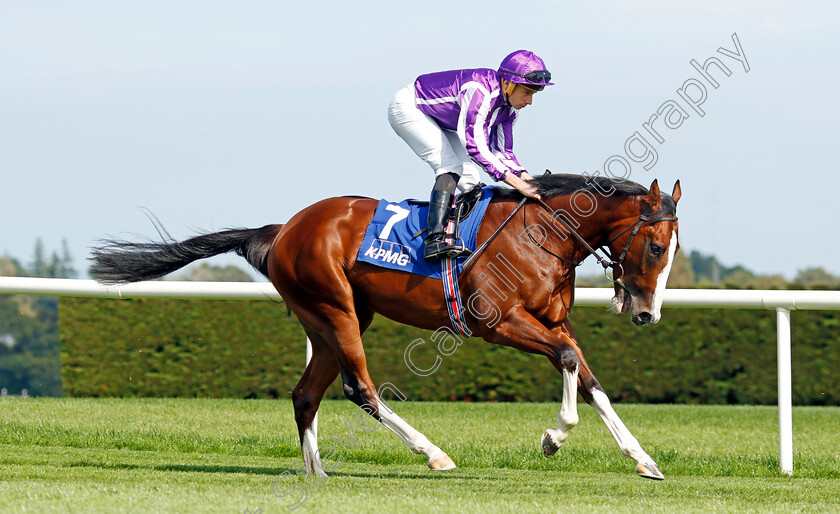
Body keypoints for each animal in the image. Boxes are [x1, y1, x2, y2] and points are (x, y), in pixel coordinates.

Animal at [92, 173, 684, 480]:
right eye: (656, 246)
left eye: (674, 249)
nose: (646, 313)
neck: (544, 232)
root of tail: (283, 229)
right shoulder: (500, 322)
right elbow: (565, 363)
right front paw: (552, 438)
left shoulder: (554, 322)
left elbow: (588, 378)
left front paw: (643, 459)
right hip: (333, 308)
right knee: (359, 388)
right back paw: (433, 453)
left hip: (335, 318)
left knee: (306, 393)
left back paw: (317, 471)